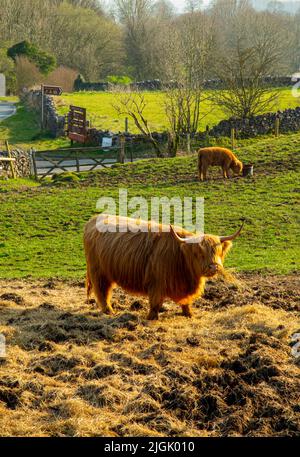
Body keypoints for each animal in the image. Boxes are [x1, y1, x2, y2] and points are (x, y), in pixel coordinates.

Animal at [84, 215, 244, 318]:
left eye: (218, 251)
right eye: (198, 252)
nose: (214, 267)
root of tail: (94, 219)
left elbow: (186, 303)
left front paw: (189, 314)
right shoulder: (156, 282)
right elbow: (155, 303)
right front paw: (151, 317)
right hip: (98, 272)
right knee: (102, 291)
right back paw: (109, 311)